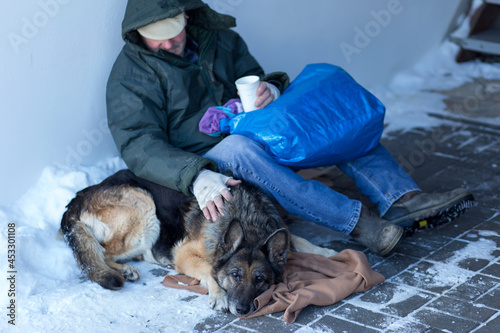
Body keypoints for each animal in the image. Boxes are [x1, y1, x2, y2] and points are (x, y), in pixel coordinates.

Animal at [60, 170, 338, 316]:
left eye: (260, 279)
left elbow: (296, 237)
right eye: (235, 276)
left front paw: (323, 251)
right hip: (145, 207)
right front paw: (218, 295)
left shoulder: (279, 226)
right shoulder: (184, 254)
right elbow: (208, 269)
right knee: (104, 252)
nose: (242, 310)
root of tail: (79, 196)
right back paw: (125, 270)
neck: (248, 221)